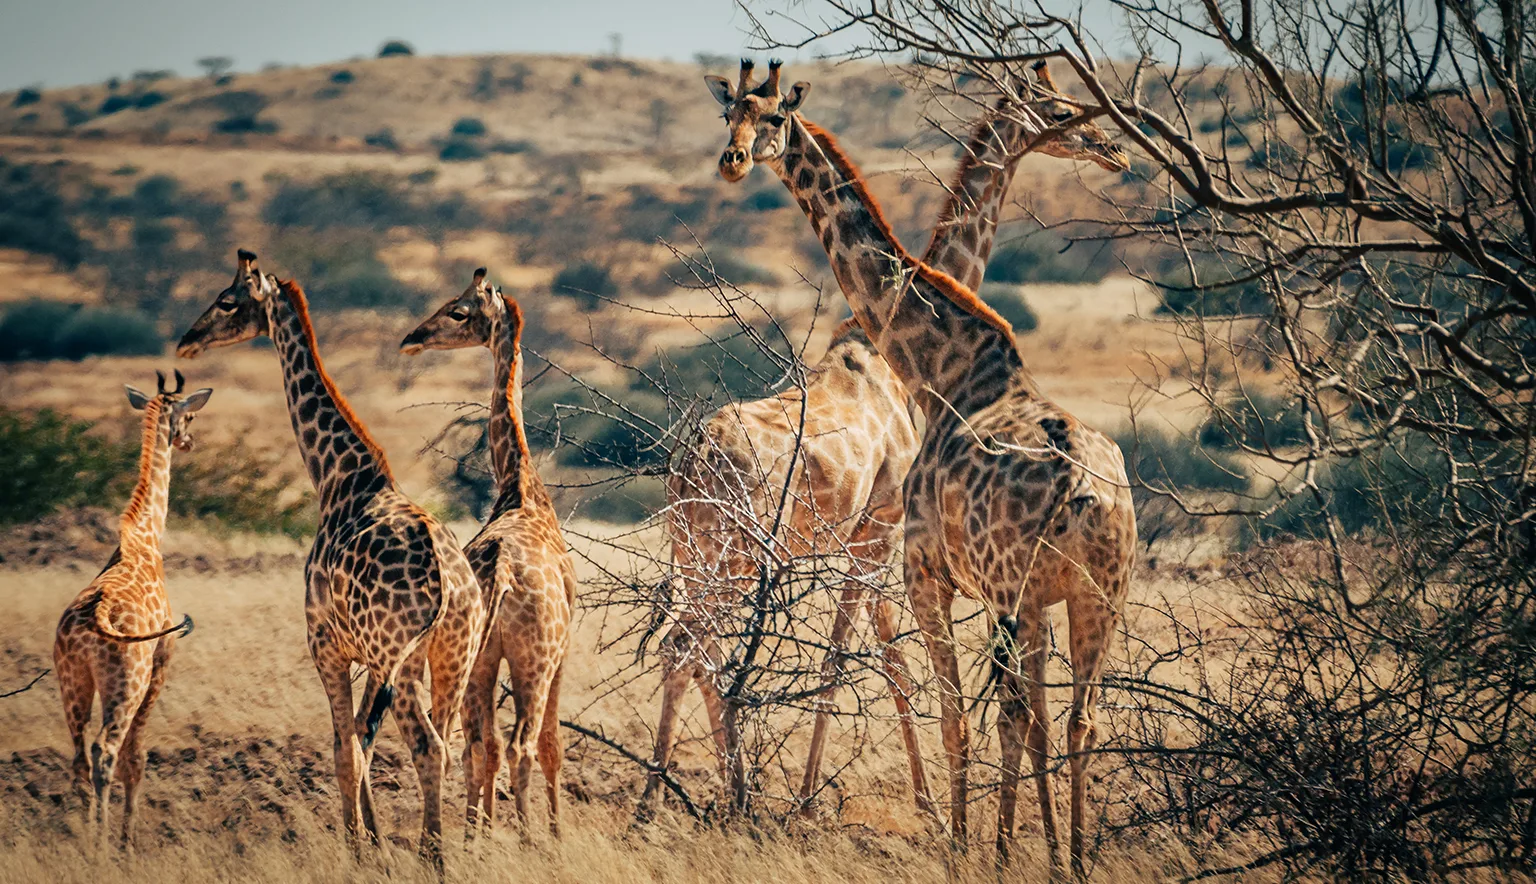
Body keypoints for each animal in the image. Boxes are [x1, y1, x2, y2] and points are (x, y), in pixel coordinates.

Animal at [53, 370, 210, 850]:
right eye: (190, 415)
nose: (189, 441)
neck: (146, 536)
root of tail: (93, 623)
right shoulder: (162, 658)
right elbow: (136, 756)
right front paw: (128, 841)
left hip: (72, 680)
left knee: (79, 756)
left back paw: (84, 838)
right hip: (127, 680)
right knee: (106, 751)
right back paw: (103, 845)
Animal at [176, 250, 485, 871]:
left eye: (227, 300)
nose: (187, 341)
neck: (339, 477)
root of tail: (449, 582)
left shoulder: (324, 643)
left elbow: (345, 747)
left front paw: (358, 849)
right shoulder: (365, 655)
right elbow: (361, 743)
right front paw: (373, 842)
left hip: (400, 660)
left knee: (418, 745)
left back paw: (429, 856)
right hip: (452, 655)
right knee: (447, 744)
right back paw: (435, 849)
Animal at [399, 268, 577, 839]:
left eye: (458, 311)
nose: (412, 339)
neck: (519, 485)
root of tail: (500, 572)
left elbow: (482, 746)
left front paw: (482, 829)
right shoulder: (565, 650)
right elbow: (552, 745)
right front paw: (555, 832)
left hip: (475, 656)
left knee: (477, 743)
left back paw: (476, 832)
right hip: (533, 657)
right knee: (521, 743)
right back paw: (526, 838)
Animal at [642, 61, 1129, 822]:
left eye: (769, 116)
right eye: (1058, 107)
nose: (1113, 148)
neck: (898, 357)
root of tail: (687, 462)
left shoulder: (866, 536)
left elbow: (866, 651)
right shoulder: (884, 527)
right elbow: (872, 655)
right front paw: (898, 805)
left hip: (696, 551)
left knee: (686, 648)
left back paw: (687, 796)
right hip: (734, 554)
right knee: (694, 648)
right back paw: (712, 796)